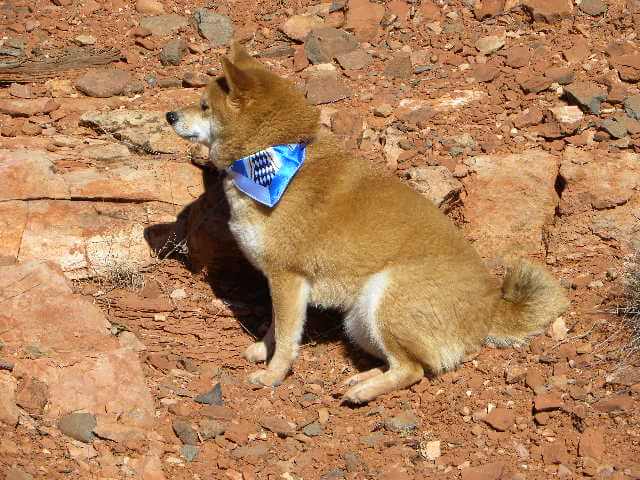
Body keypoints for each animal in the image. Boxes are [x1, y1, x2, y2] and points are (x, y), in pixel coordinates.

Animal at [166, 43, 568, 404]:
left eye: (204, 106)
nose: (169, 115)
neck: (273, 161)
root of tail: (490, 307)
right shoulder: (282, 283)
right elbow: (276, 328)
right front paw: (263, 351)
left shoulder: (287, 277)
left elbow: (286, 335)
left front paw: (272, 374)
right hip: (359, 322)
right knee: (402, 362)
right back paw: (363, 378)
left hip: (384, 300)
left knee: (413, 369)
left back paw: (363, 390)